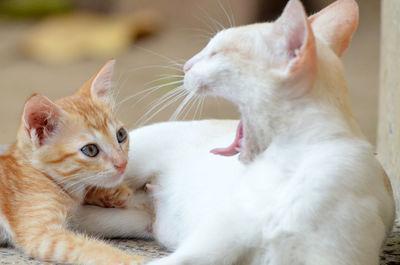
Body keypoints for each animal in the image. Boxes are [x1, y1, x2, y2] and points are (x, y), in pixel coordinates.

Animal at [0, 59, 145, 264]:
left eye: (121, 135)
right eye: (90, 150)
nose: (122, 163)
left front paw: (115, 191)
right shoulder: (42, 235)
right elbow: (87, 247)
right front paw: (130, 259)